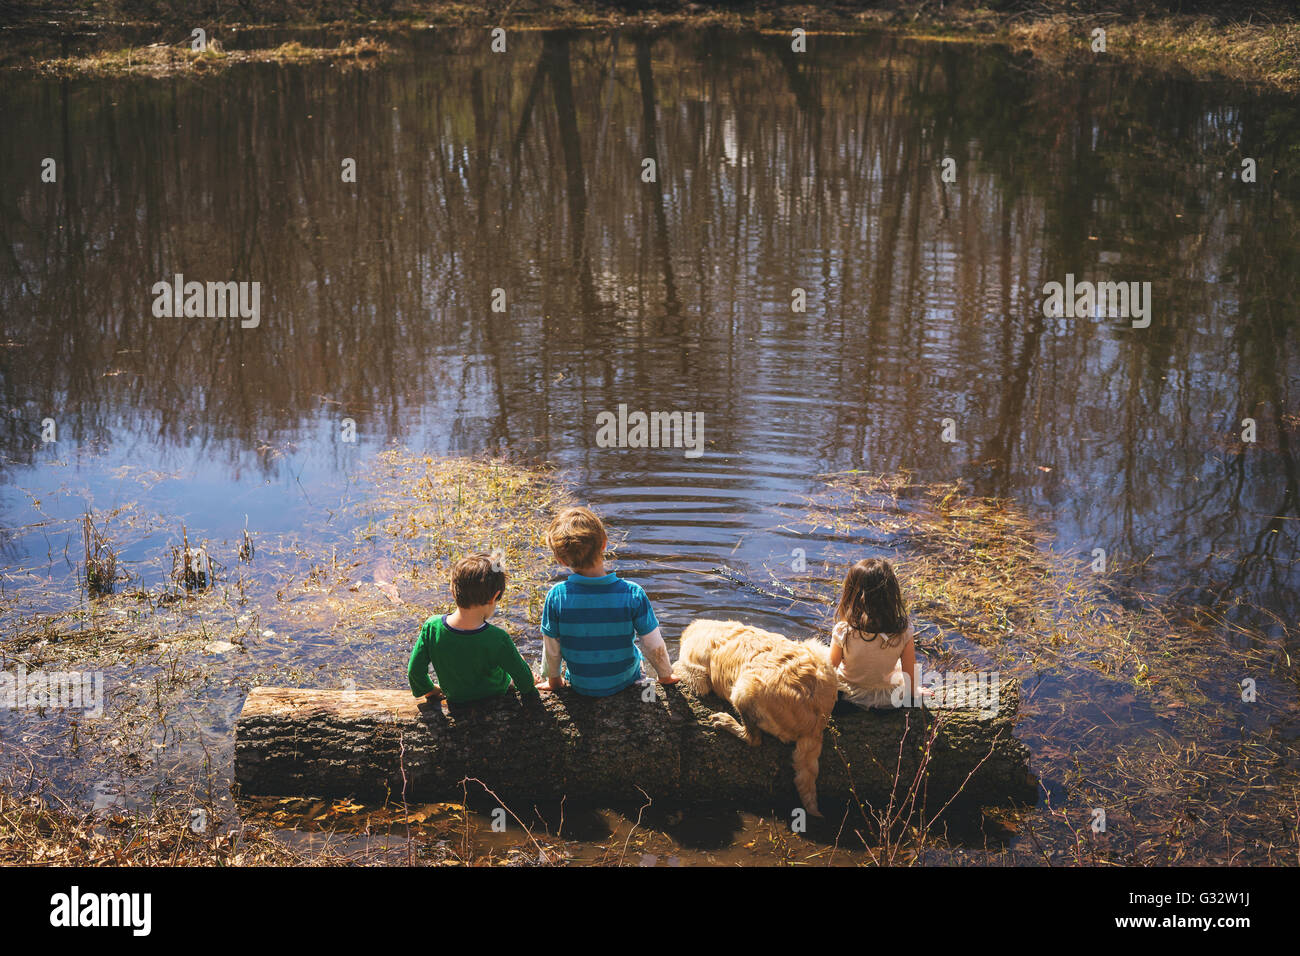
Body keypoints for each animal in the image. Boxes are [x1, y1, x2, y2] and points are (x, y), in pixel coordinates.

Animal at [676, 624, 837, 816]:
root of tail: (815, 723)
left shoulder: (698, 675)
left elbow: (679, 668)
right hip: (820, 653)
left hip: (745, 688)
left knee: (753, 739)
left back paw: (727, 722)